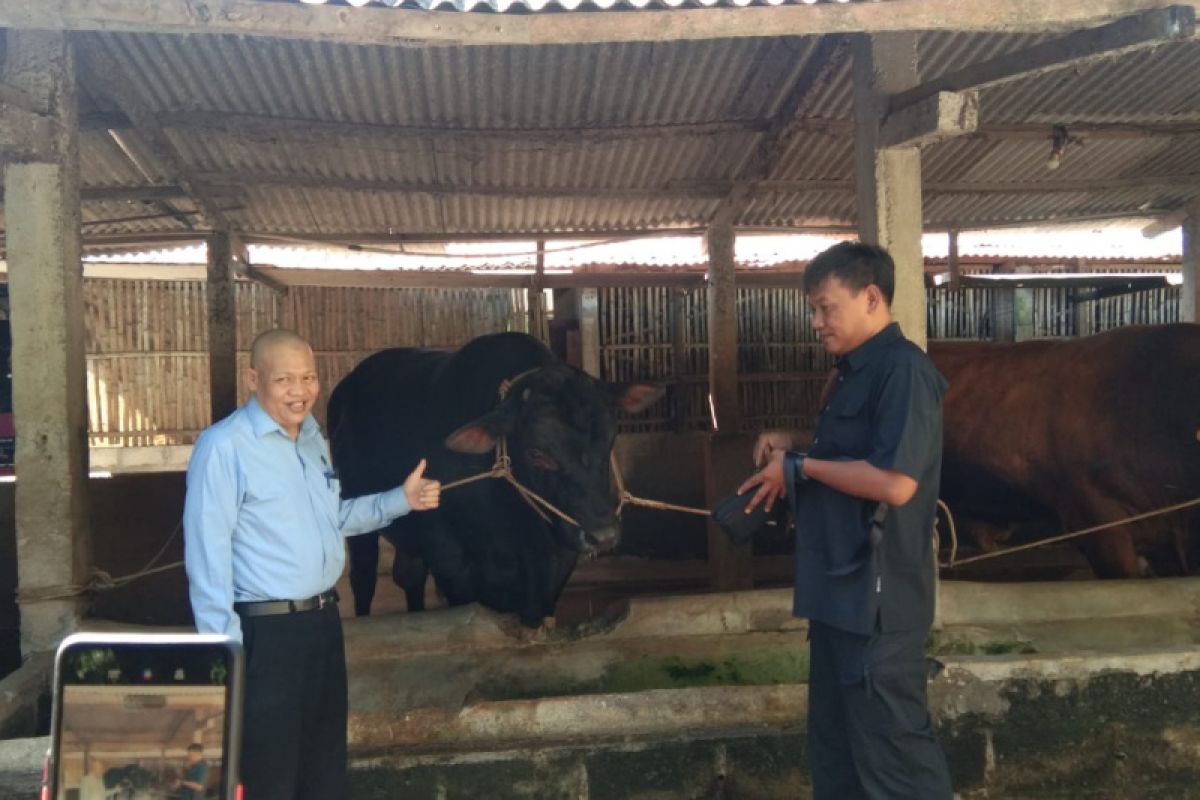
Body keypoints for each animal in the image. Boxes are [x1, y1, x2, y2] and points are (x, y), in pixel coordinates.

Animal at [328, 331, 662, 623]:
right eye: (536, 453)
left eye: (610, 438)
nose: (602, 534)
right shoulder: (450, 559)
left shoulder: (555, 560)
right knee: (363, 579)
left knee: (410, 576)